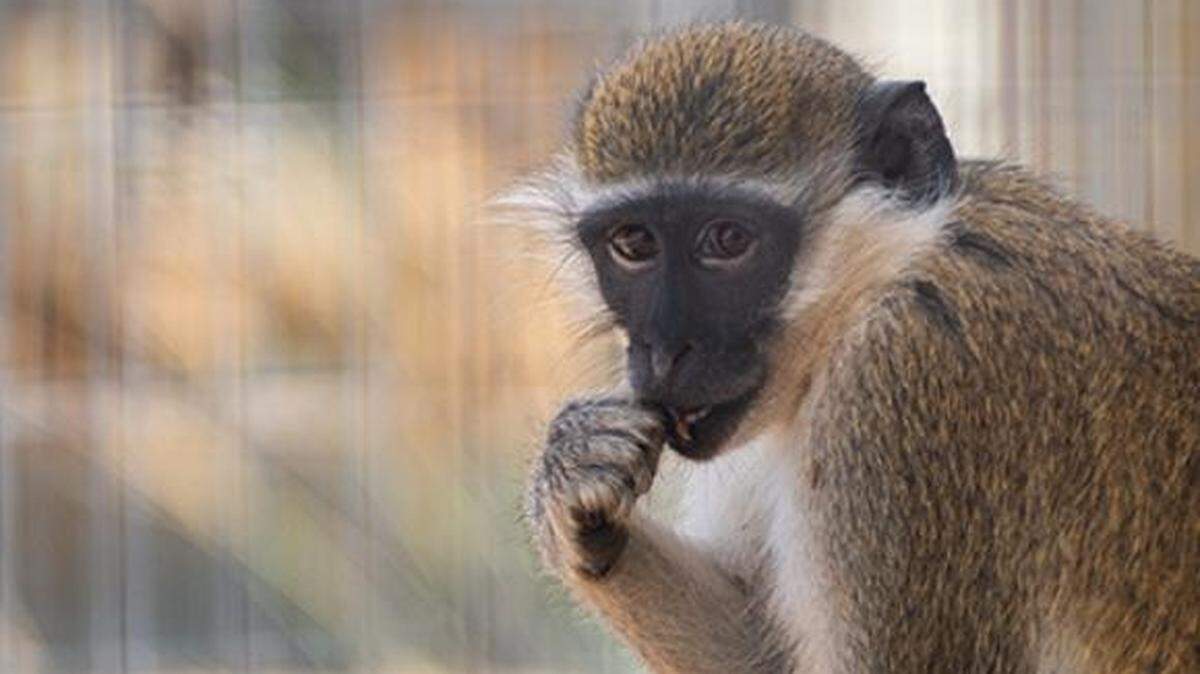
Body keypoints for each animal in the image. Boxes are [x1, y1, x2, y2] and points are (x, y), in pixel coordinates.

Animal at [509, 21, 1200, 674]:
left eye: (728, 240)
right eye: (633, 244)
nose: (663, 349)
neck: (885, 271)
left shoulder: (902, 382)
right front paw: (572, 483)